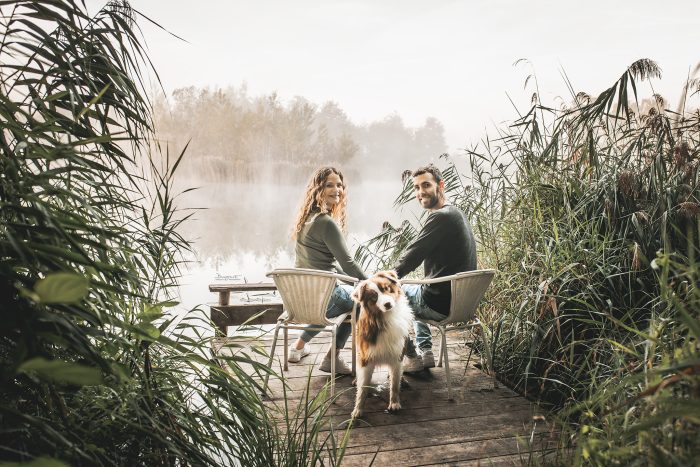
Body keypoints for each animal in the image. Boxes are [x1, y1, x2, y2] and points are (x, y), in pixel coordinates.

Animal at [350, 270, 416, 420]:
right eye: (374, 297)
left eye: (386, 289)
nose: (387, 304)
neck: (386, 317)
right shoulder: (366, 358)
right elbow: (363, 388)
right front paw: (358, 409)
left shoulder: (397, 356)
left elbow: (395, 385)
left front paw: (394, 403)